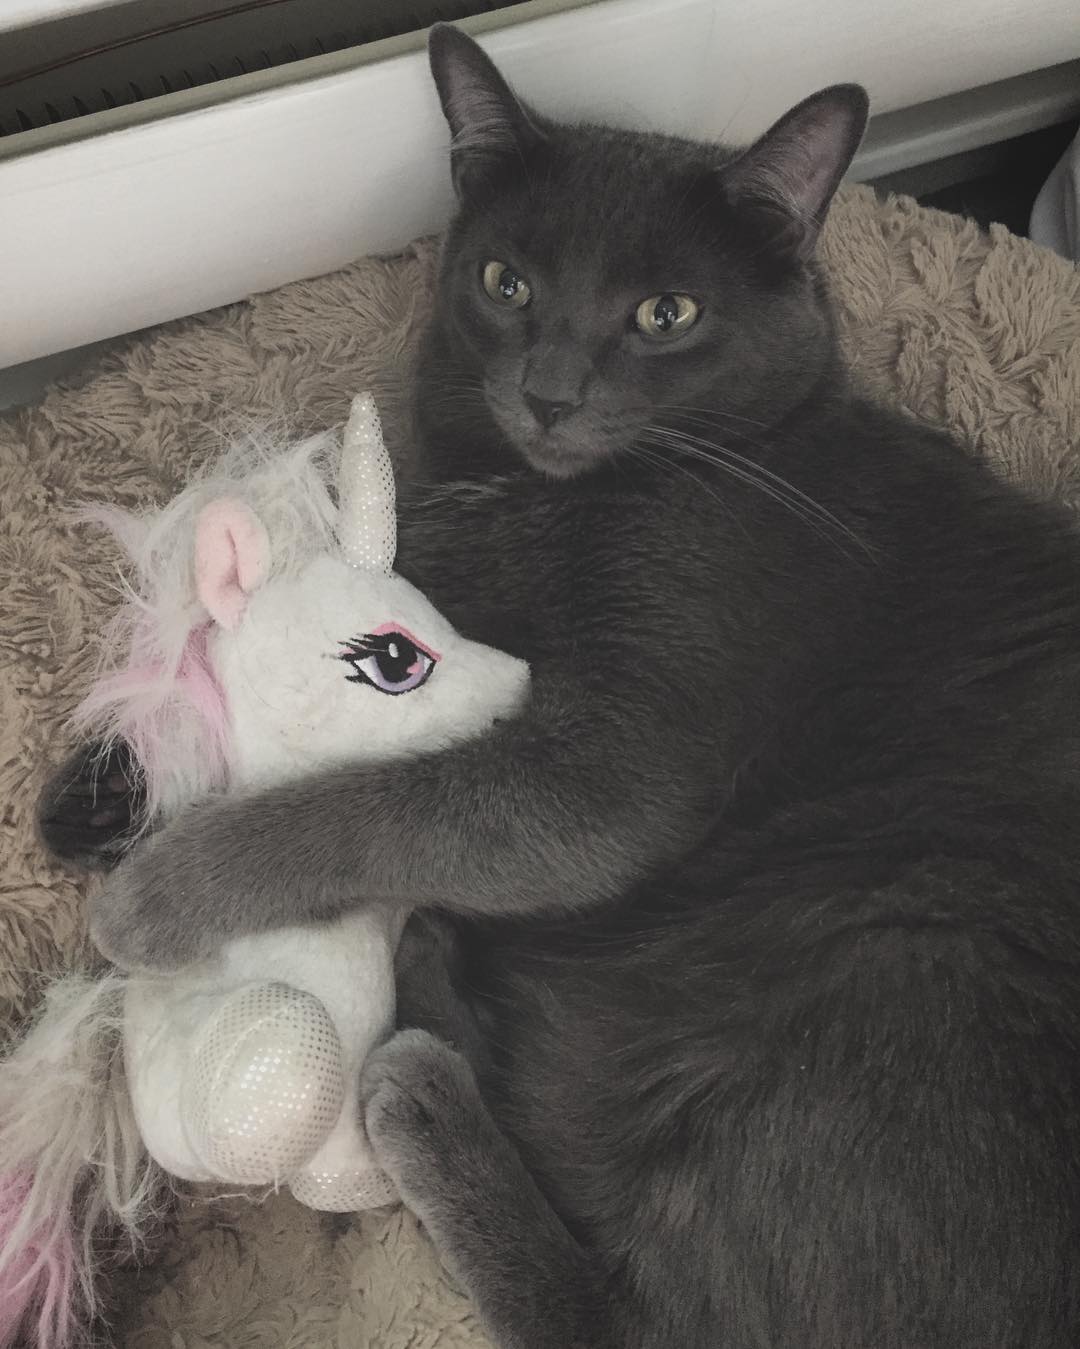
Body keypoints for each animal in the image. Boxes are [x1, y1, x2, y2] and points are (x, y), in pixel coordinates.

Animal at [40, 23, 1080, 1349]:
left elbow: (387, 797)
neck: (546, 496)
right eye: (506, 284)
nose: (548, 390)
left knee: (643, 1316)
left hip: (904, 948)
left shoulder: (623, 759)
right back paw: (435, 978)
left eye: (666, 312)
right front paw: (108, 777)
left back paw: (421, 1082)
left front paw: (159, 889)